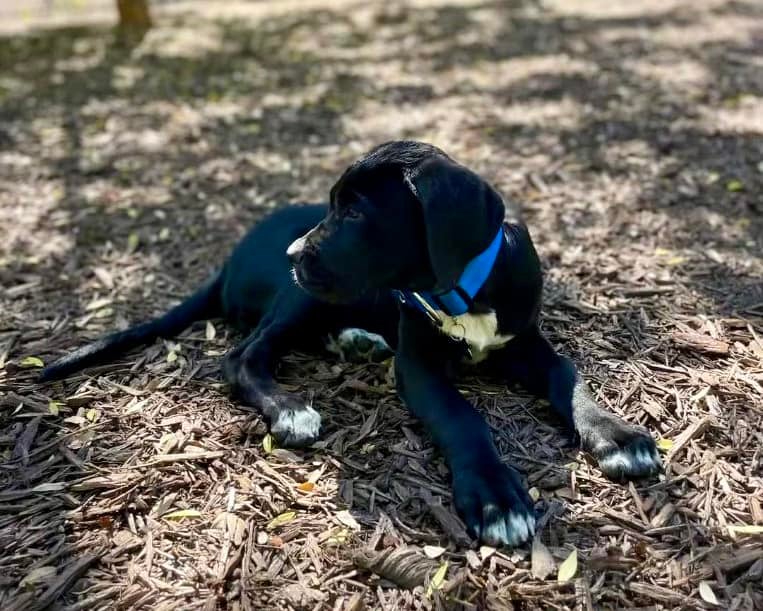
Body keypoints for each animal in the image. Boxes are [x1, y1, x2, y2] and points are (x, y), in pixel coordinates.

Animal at [43, 141, 664, 548]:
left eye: (357, 211)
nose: (294, 254)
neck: (465, 289)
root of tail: (227, 261)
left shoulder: (527, 340)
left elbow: (568, 378)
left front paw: (616, 435)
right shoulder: (419, 367)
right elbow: (463, 417)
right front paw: (495, 497)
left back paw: (357, 341)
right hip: (299, 299)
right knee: (242, 357)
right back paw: (289, 408)